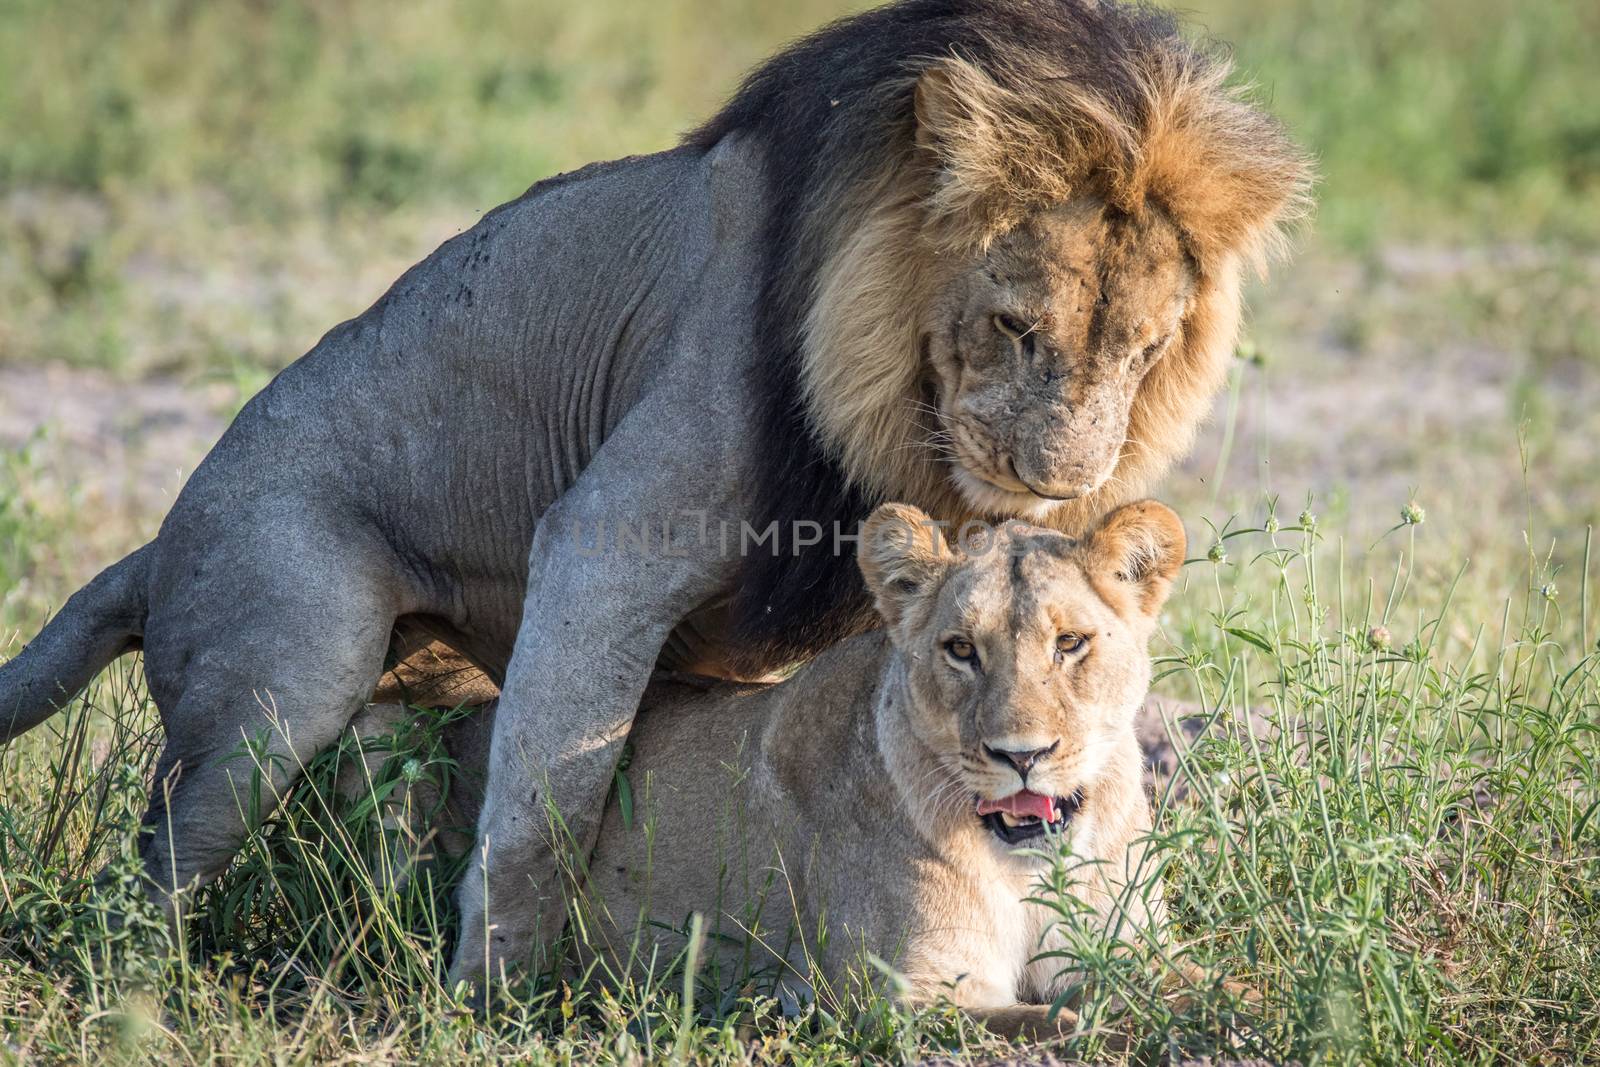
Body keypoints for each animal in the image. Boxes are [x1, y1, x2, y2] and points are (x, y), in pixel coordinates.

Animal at [0, 0, 1305, 985]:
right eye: (1013, 325)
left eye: (1145, 348)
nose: (1060, 479)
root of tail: (158, 540)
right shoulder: (607, 537)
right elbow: (549, 800)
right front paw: (492, 999)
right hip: (284, 665)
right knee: (153, 872)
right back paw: (143, 988)